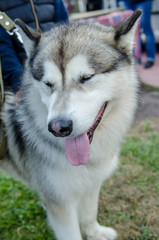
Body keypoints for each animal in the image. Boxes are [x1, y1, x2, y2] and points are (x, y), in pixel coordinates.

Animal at [0, 10, 141, 240]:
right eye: (48, 84)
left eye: (86, 77)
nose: (59, 128)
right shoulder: (60, 203)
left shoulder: (91, 183)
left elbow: (90, 213)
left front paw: (95, 232)